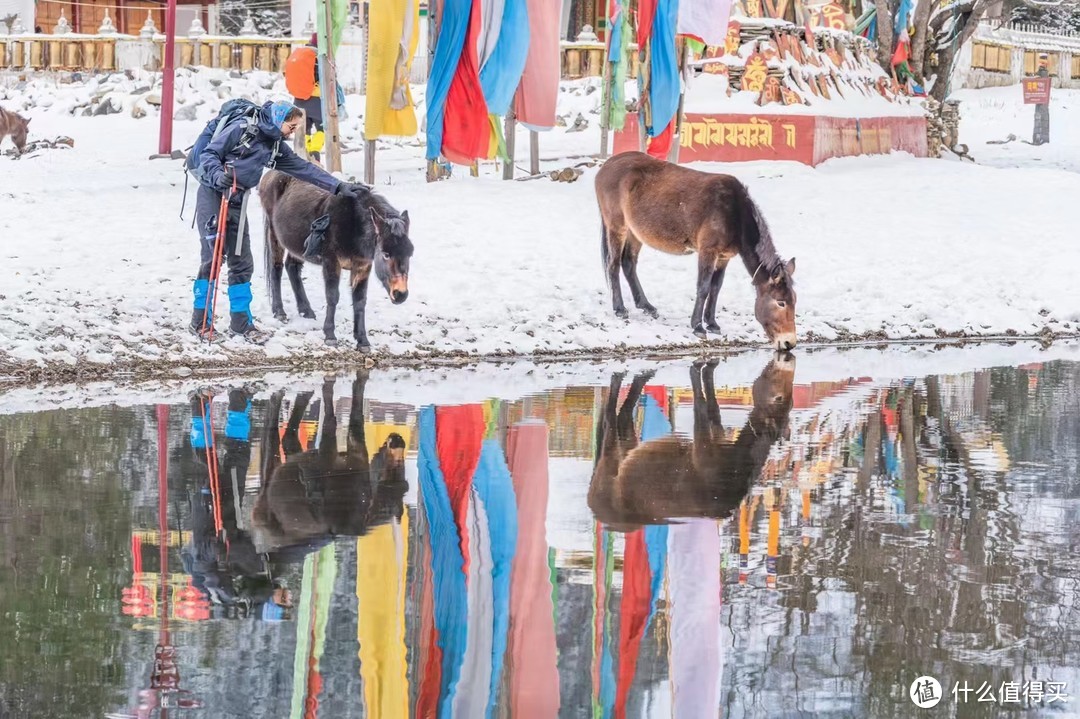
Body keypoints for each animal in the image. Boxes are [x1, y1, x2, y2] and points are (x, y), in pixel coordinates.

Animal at [258, 170, 412, 349]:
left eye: (410, 253)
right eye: (386, 254)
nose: (401, 294)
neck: (354, 224)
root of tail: (270, 173)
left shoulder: (363, 265)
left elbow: (360, 300)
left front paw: (362, 340)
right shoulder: (331, 262)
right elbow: (332, 296)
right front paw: (330, 335)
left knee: (292, 267)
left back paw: (306, 310)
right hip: (274, 234)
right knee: (276, 268)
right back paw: (279, 311)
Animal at [591, 354, 794, 531]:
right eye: (781, 397)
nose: (775, 366)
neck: (736, 464)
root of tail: (592, 506)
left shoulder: (714, 441)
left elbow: (711, 406)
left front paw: (706, 366)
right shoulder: (704, 448)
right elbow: (703, 404)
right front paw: (700, 365)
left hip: (628, 451)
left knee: (623, 416)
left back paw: (641, 375)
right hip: (609, 467)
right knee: (610, 421)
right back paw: (620, 377)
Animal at [596, 150, 799, 347]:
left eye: (794, 300)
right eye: (781, 303)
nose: (789, 341)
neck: (734, 213)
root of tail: (606, 166)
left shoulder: (724, 257)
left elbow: (716, 288)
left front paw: (712, 323)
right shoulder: (708, 251)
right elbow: (703, 287)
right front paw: (698, 326)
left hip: (635, 232)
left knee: (628, 264)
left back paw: (646, 305)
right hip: (617, 227)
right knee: (613, 264)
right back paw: (620, 308)